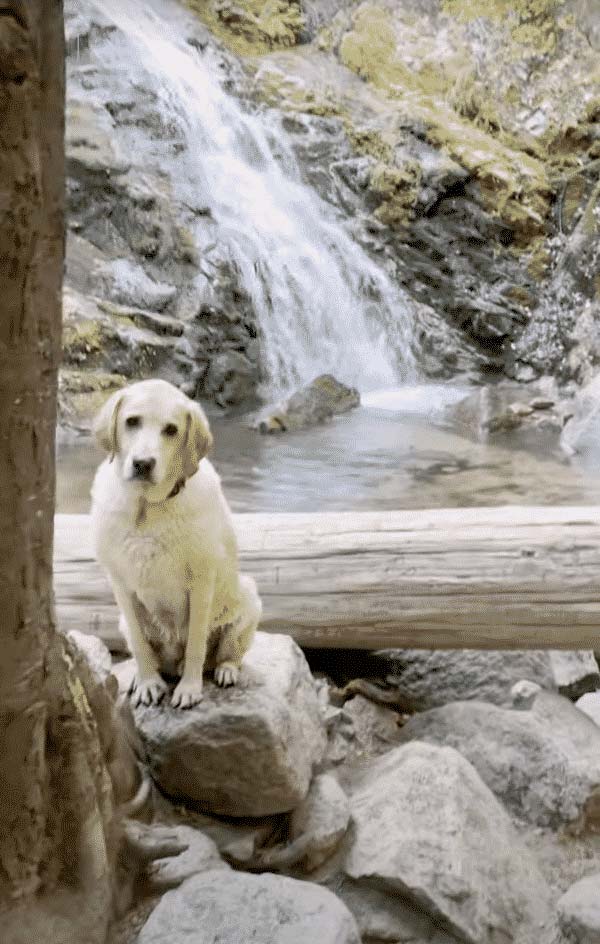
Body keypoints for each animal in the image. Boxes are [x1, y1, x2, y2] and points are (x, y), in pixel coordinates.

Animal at [89, 376, 260, 708]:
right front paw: (147, 683)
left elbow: (195, 643)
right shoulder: (120, 582)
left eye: (171, 429)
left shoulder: (202, 581)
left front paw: (189, 689)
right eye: (132, 421)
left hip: (248, 599)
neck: (146, 508)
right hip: (123, 622)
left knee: (225, 654)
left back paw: (224, 671)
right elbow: (140, 645)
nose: (143, 463)